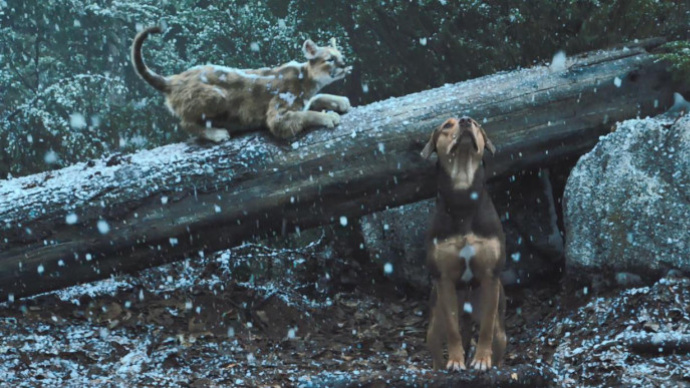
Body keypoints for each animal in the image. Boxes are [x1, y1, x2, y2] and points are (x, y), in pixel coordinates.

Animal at [420, 116, 506, 372]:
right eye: (447, 125)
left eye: (476, 124)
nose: (466, 121)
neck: (463, 196)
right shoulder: (445, 280)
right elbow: (452, 330)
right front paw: (457, 361)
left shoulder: (490, 277)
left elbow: (486, 328)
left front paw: (481, 360)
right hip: (434, 322)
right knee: (437, 346)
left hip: (500, 327)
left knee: (498, 340)